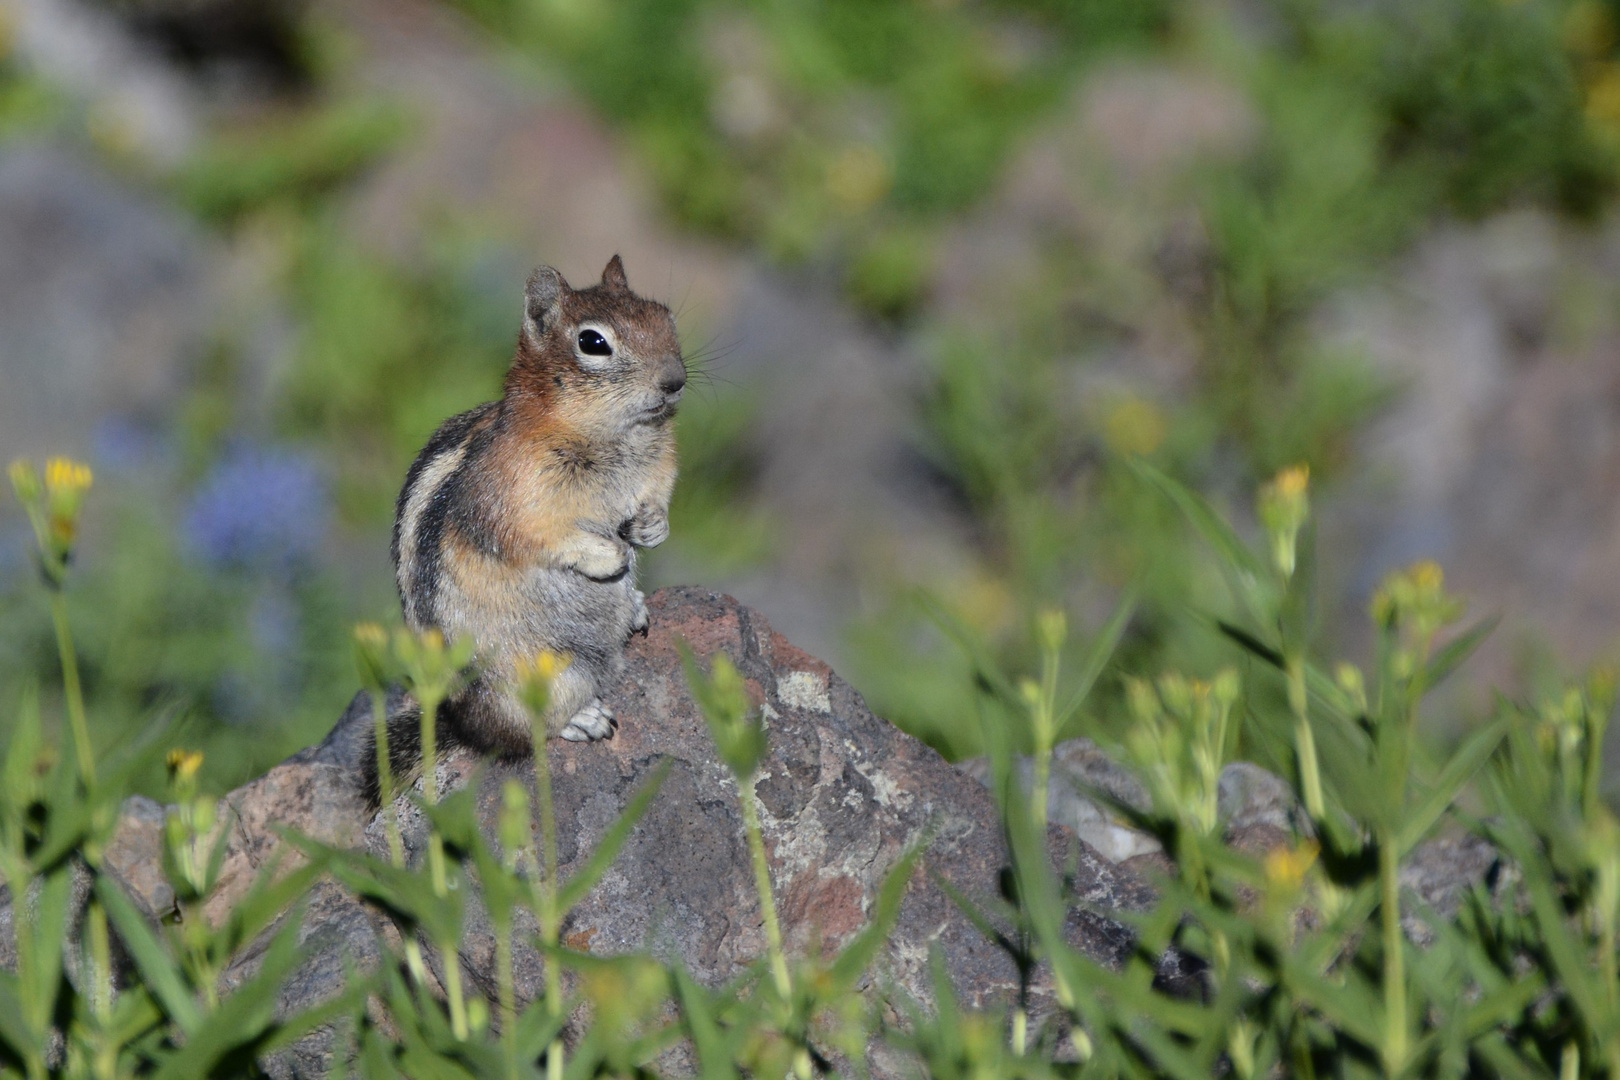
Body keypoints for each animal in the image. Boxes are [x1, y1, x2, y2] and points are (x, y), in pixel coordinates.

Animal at [364, 257, 686, 806]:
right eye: (593, 342)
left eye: (664, 316)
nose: (676, 381)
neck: (618, 437)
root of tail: (470, 728)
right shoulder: (516, 501)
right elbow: (547, 539)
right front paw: (610, 556)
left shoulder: (658, 470)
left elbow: (658, 500)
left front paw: (651, 528)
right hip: (543, 677)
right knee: (530, 730)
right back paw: (584, 719)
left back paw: (634, 608)